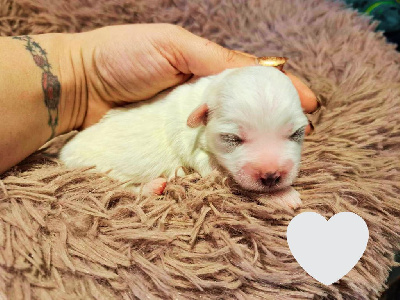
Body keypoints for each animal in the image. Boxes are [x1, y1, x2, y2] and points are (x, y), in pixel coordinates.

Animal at [60, 65, 310, 206]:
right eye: (231, 139)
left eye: (297, 133)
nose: (271, 176)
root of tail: (63, 153)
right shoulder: (202, 157)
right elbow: (234, 181)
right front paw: (282, 196)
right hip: (93, 170)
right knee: (115, 188)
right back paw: (152, 187)